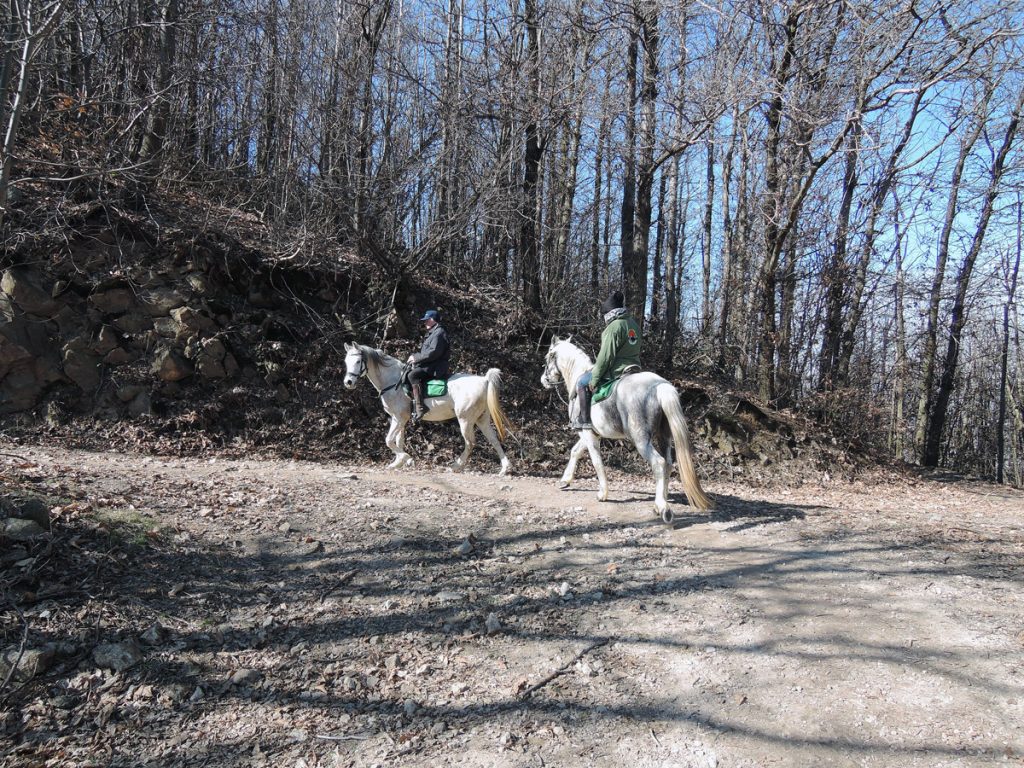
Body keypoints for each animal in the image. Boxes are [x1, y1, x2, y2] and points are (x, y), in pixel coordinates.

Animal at [343, 342, 512, 475]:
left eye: (358, 361)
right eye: (346, 361)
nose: (348, 382)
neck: (392, 381)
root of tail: (484, 380)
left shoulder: (399, 418)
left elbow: (389, 440)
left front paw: (407, 459)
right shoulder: (399, 419)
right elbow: (398, 441)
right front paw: (398, 463)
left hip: (465, 420)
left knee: (470, 443)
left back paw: (456, 466)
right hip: (482, 419)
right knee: (494, 440)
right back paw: (505, 468)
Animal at [539, 336, 713, 523]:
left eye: (547, 357)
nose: (543, 380)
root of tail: (659, 386)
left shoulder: (588, 434)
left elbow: (596, 462)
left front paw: (602, 494)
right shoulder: (591, 434)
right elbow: (575, 451)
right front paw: (565, 480)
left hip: (641, 441)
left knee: (658, 463)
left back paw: (662, 507)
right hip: (664, 437)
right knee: (667, 463)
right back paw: (661, 501)